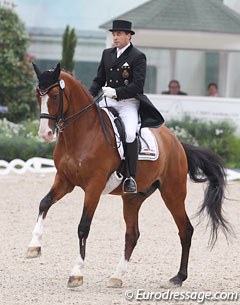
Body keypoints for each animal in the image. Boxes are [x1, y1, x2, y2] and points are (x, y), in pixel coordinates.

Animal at [26, 63, 231, 288]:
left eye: (54, 96)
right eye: (38, 95)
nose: (45, 134)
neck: (82, 133)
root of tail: (177, 143)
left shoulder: (93, 187)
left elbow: (83, 227)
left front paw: (76, 273)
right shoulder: (65, 180)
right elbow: (44, 203)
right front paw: (33, 247)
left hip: (173, 193)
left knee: (185, 230)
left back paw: (178, 277)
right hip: (132, 198)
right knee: (132, 234)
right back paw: (117, 276)